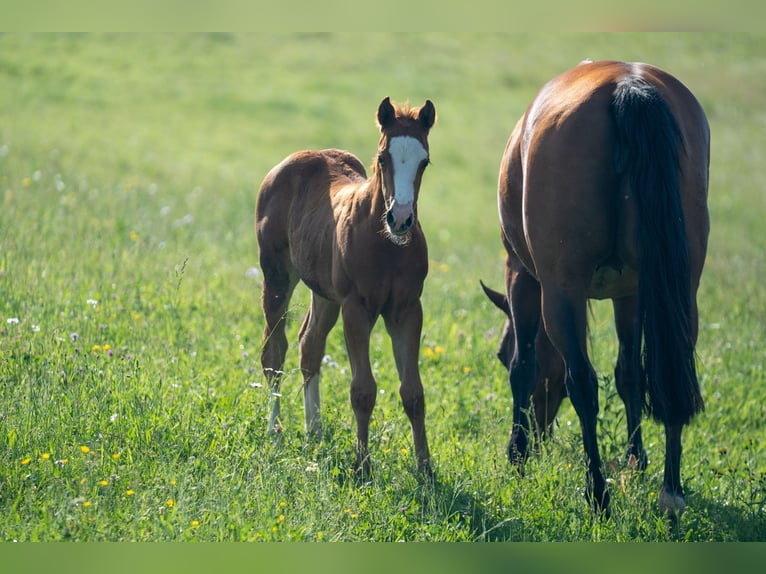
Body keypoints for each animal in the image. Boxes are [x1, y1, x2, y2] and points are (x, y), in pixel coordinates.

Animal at [255, 97, 437, 478]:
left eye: (424, 161)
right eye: (382, 157)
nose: (401, 219)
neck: (386, 243)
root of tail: (291, 161)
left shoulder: (407, 310)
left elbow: (414, 393)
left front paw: (426, 470)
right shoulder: (357, 308)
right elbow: (363, 390)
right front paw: (362, 467)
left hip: (325, 294)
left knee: (309, 347)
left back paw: (314, 432)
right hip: (277, 275)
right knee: (274, 353)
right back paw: (275, 433)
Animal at [486, 60, 710, 519]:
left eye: (496, 355)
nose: (540, 438)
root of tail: (629, 86)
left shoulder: (521, 275)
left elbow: (523, 365)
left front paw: (517, 454)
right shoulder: (631, 293)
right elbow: (630, 375)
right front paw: (635, 461)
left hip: (559, 291)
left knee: (583, 384)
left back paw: (597, 493)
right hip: (680, 292)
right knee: (670, 374)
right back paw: (671, 492)